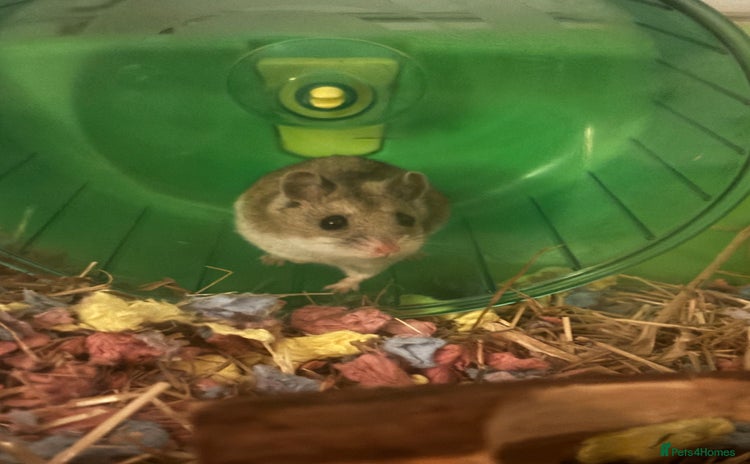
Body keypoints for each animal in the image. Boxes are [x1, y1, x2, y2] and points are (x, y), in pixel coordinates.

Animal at [234, 156, 450, 293]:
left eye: (407, 220)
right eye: (333, 223)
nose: (390, 249)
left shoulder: (371, 265)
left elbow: (360, 275)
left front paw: (334, 289)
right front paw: (270, 261)